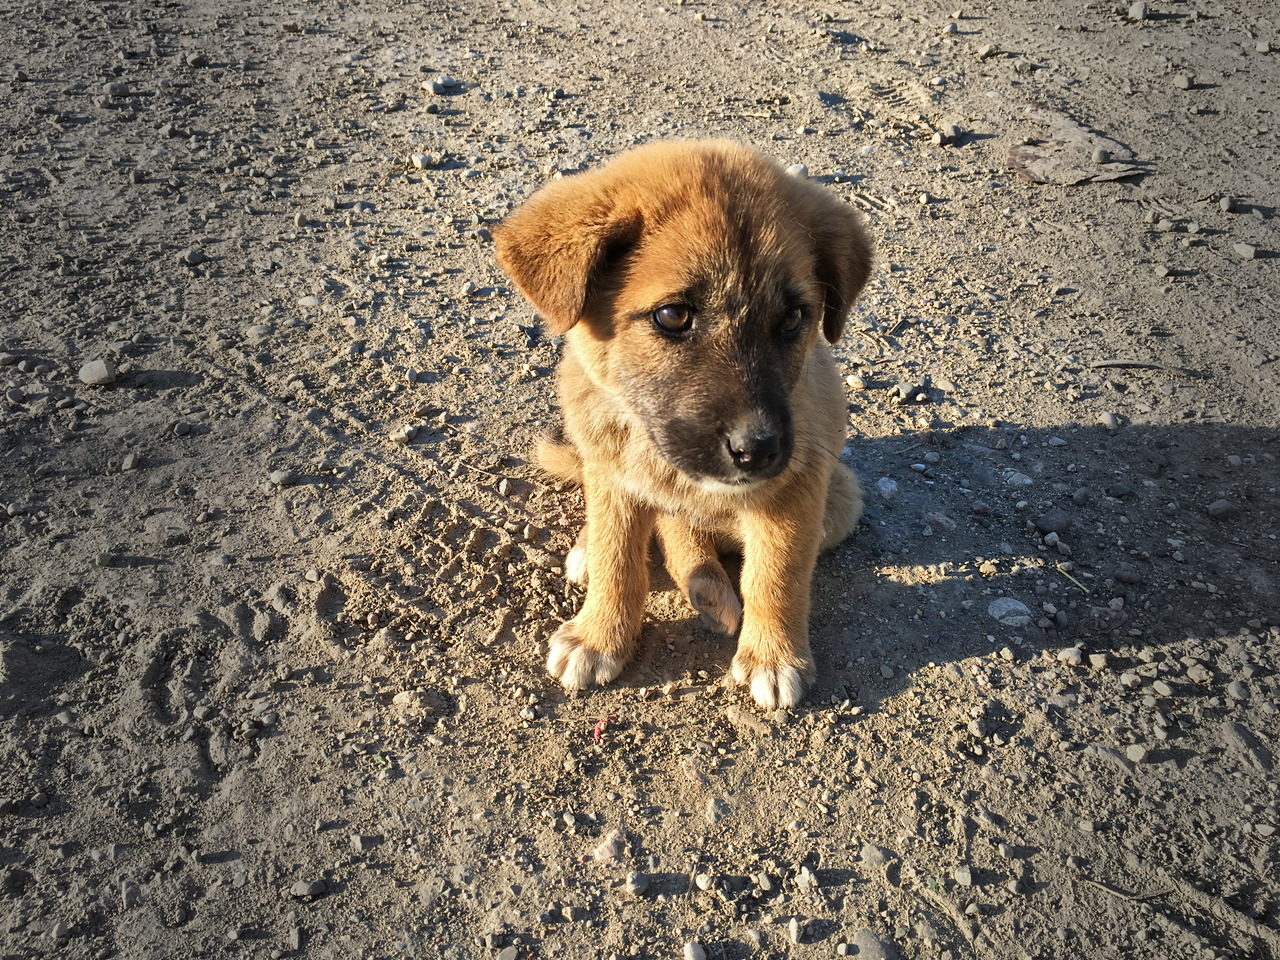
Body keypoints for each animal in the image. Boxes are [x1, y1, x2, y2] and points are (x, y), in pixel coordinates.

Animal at [494, 142, 875, 716]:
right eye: (673, 315)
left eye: (793, 318)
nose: (758, 450)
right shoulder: (615, 475)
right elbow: (618, 558)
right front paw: (599, 636)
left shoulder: (798, 488)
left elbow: (777, 573)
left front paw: (773, 656)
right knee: (659, 527)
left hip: (841, 499)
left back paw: (709, 589)